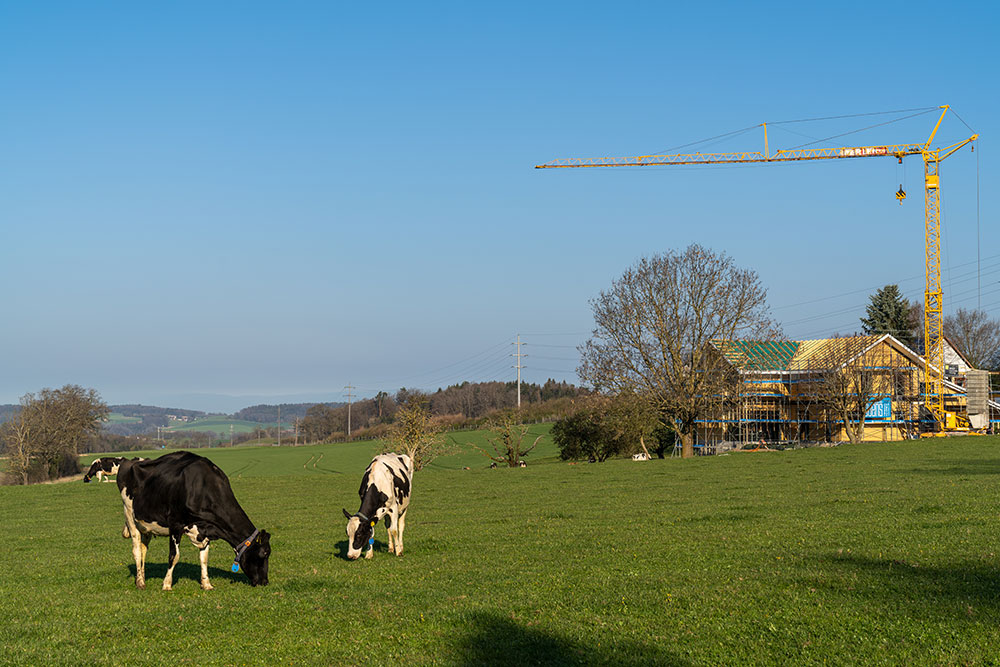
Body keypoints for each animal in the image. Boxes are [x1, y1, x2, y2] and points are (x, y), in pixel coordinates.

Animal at [116, 454, 270, 588]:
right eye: (264, 553)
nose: (265, 582)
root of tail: (130, 460)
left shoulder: (206, 529)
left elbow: (204, 558)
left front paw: (206, 584)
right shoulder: (175, 524)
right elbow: (174, 555)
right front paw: (167, 584)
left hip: (145, 526)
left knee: (143, 550)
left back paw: (141, 578)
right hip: (129, 514)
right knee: (136, 550)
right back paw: (140, 583)